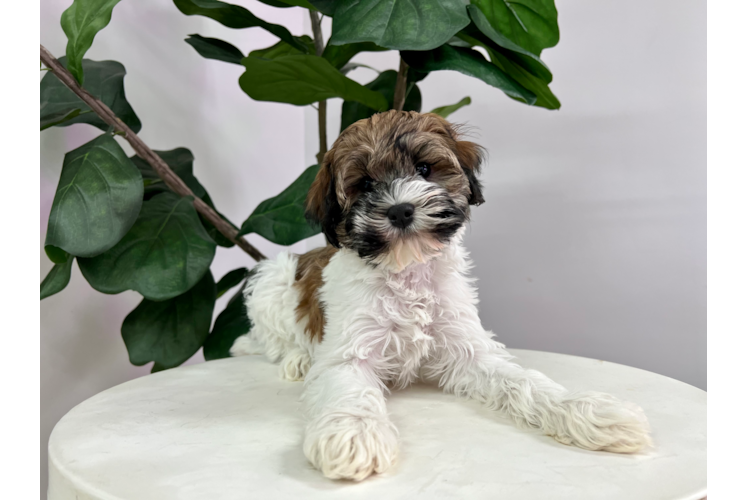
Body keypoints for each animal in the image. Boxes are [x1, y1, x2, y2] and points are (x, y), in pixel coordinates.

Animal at [231, 110, 652, 480]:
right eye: (364, 185)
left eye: (423, 169)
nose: (401, 210)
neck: (408, 271)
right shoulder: (349, 353)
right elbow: (349, 391)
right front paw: (355, 434)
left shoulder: (468, 348)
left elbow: (523, 381)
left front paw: (585, 410)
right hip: (271, 280)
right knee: (273, 338)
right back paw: (298, 358)